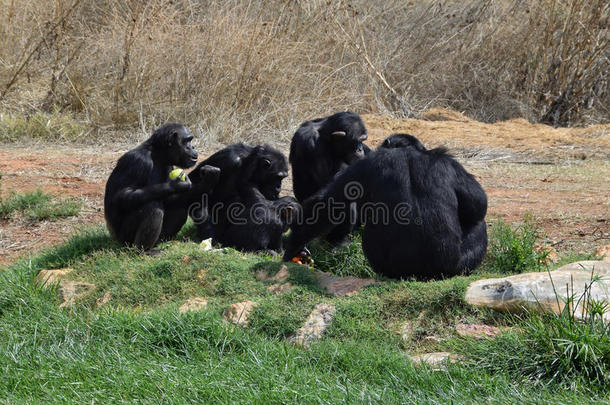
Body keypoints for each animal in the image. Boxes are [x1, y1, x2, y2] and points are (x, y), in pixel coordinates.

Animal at [104, 121, 218, 251]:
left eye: (190, 140)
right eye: (186, 141)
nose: (192, 147)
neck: (158, 156)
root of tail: (114, 240)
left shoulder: (168, 166)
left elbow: (170, 199)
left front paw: (208, 181)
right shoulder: (137, 161)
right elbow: (123, 194)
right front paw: (176, 185)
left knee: (180, 206)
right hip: (124, 240)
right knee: (152, 207)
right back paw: (143, 251)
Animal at [282, 134, 486, 280]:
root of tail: (423, 273)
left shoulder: (365, 163)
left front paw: (294, 247)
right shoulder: (449, 161)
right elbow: (329, 202)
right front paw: (295, 248)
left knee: (478, 224)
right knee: (479, 223)